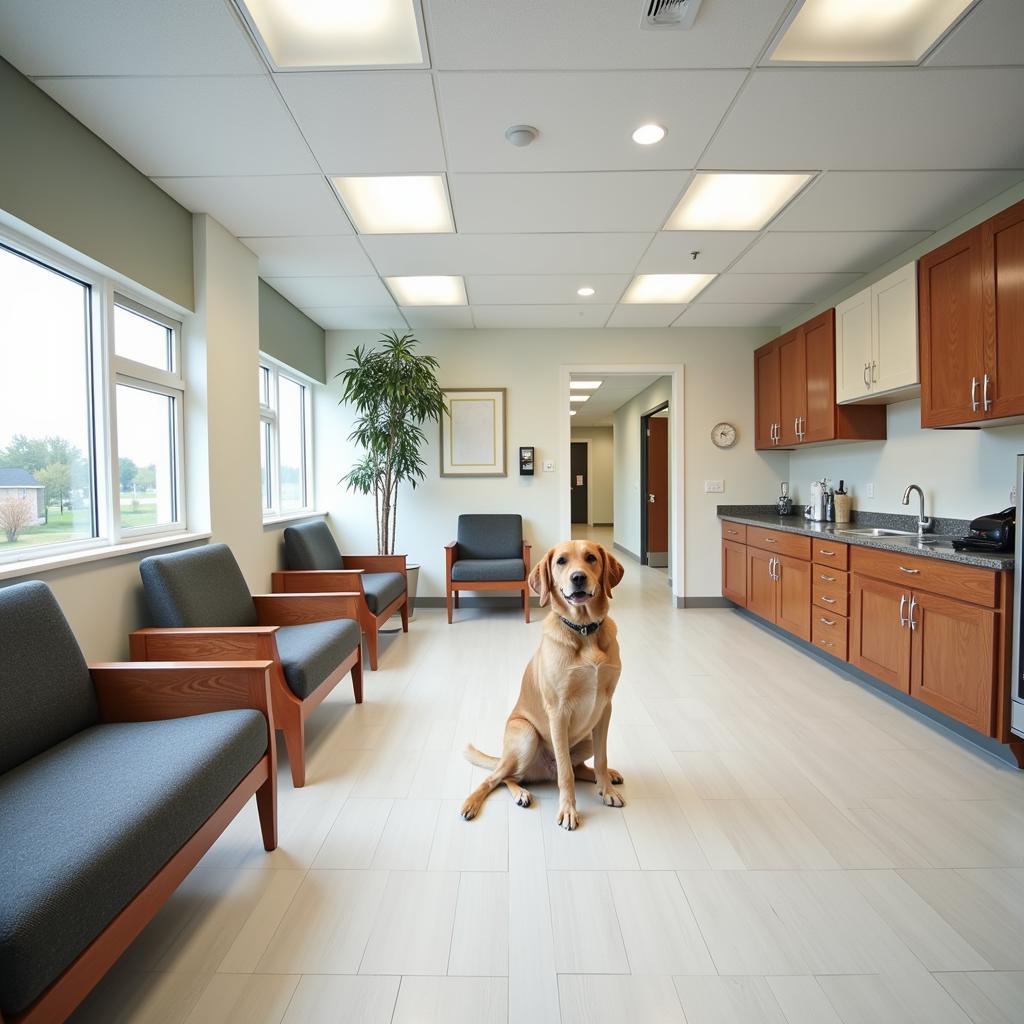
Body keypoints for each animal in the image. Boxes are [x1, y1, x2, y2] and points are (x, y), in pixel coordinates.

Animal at [462, 540, 622, 827]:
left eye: (591, 558)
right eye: (561, 561)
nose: (578, 577)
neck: (584, 630)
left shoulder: (605, 708)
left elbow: (601, 759)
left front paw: (607, 789)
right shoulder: (558, 711)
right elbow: (565, 773)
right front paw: (568, 810)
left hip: (587, 737)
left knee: (577, 768)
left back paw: (605, 777)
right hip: (526, 736)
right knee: (500, 777)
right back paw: (486, 800)